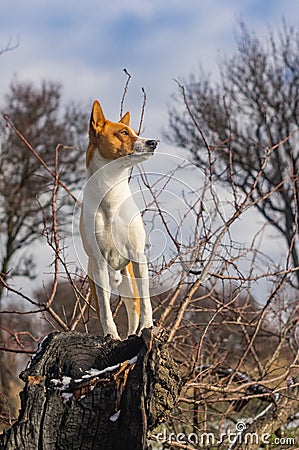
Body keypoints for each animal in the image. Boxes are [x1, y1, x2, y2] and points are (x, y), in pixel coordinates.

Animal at [79, 100, 159, 340]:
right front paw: (111, 335)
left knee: (134, 310)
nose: (154, 142)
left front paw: (147, 327)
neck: (111, 193)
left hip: (129, 282)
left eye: (135, 132)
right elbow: (106, 310)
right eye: (123, 133)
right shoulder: (99, 262)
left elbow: (147, 303)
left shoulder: (138, 256)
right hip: (98, 278)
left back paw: (135, 332)